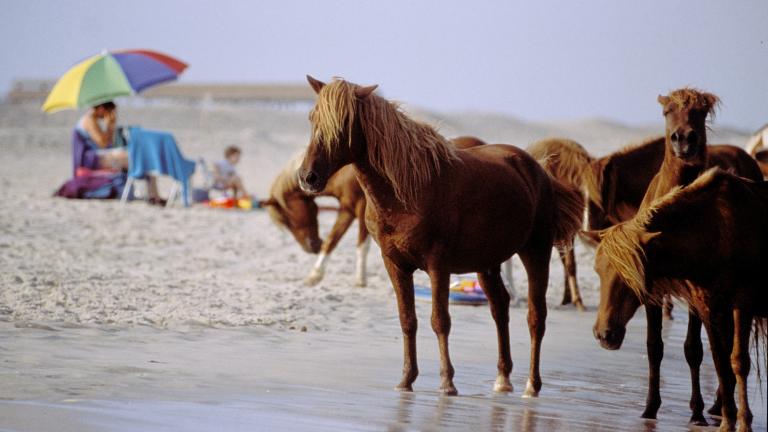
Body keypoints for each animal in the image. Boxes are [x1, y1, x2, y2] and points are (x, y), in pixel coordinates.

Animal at [296, 77, 580, 394]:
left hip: (536, 252)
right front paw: (406, 379)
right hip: (487, 264)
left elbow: (440, 320)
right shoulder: (395, 265)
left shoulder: (438, 266)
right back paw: (503, 378)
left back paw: (532, 385)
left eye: (343, 124)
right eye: (312, 119)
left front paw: (447, 383)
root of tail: (537, 169)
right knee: (500, 308)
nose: (308, 177)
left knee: (535, 317)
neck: (406, 191)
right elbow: (408, 320)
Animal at [592, 166, 768, 432]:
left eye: (632, 275)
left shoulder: (742, 302)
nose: (605, 334)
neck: (714, 233)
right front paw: (727, 421)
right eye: (598, 271)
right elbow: (721, 363)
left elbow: (738, 362)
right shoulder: (709, 307)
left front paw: (744, 422)